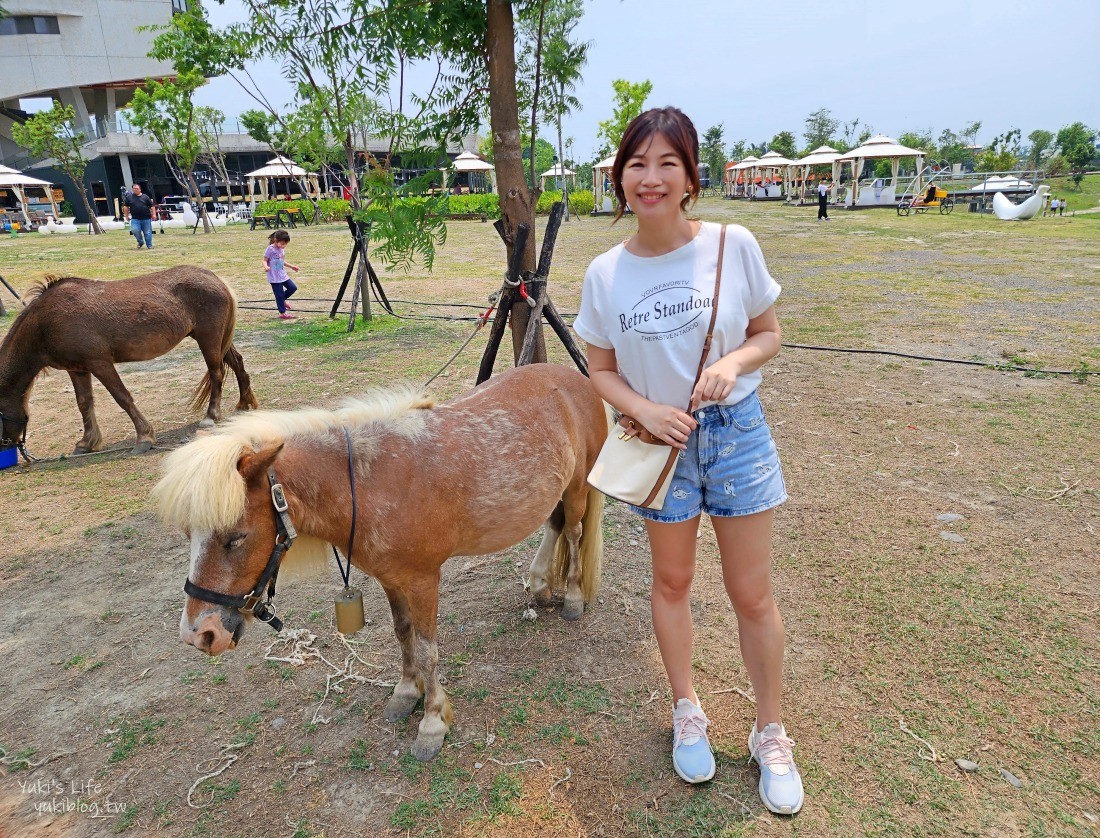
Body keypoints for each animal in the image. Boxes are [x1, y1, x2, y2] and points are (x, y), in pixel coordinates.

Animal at [0, 266, 256, 450]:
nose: (6, 446)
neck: (45, 322)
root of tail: (215, 279)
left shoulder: (100, 363)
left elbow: (122, 397)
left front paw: (144, 437)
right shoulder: (78, 369)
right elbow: (84, 403)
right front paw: (87, 442)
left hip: (208, 339)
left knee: (216, 373)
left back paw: (211, 416)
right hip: (216, 339)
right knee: (237, 363)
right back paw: (245, 402)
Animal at [152, 365, 611, 756]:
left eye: (236, 537)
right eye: (189, 535)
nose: (199, 634)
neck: (370, 484)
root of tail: (579, 381)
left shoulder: (425, 581)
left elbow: (427, 650)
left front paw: (432, 722)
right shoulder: (392, 580)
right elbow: (402, 635)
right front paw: (406, 694)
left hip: (576, 489)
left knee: (572, 532)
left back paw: (571, 598)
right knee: (554, 526)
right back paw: (540, 585)